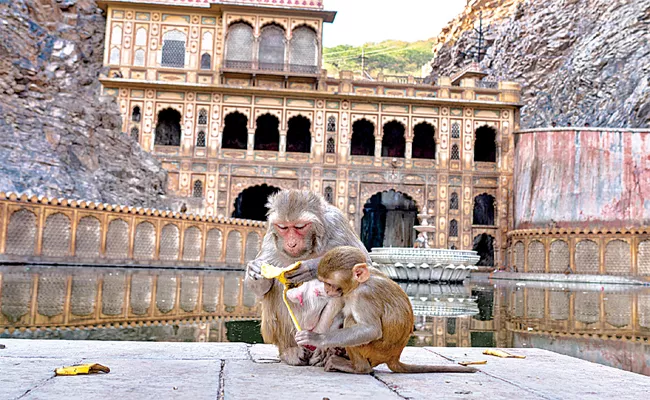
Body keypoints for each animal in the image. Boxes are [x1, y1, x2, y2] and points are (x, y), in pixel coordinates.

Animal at [244, 191, 368, 366]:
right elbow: (264, 288)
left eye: (300, 227)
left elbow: (366, 263)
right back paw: (290, 351)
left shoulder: (337, 222)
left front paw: (310, 267)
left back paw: (327, 351)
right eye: (283, 227)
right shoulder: (270, 235)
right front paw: (255, 271)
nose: (291, 243)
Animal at [294, 247, 476, 376]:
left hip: (375, 351)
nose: (326, 289)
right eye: (325, 283)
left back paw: (358, 368)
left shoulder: (363, 296)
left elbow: (370, 329)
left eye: (330, 283)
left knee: (352, 321)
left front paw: (316, 338)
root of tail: (394, 357)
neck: (359, 284)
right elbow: (339, 307)